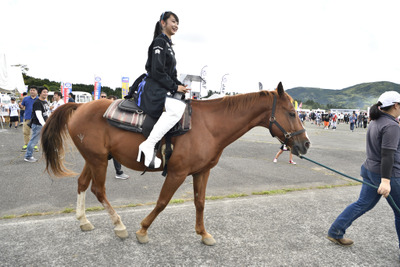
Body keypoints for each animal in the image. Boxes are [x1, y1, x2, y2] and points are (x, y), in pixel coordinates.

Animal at [41, 82, 310, 247]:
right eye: (292, 113)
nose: (305, 144)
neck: (209, 125)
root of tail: (80, 106)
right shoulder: (177, 173)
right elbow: (162, 202)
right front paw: (142, 230)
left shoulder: (202, 172)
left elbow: (200, 202)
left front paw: (203, 234)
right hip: (98, 160)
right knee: (98, 190)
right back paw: (119, 225)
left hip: (95, 158)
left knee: (82, 183)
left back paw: (83, 220)